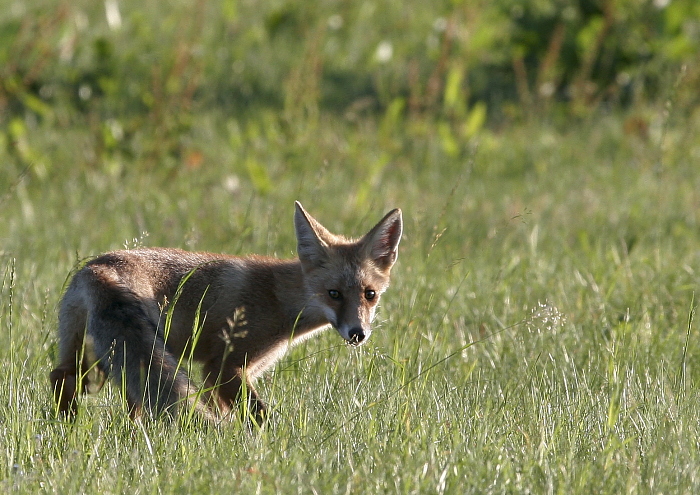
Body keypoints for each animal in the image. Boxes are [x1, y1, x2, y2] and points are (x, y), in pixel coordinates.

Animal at [49, 202, 402, 426]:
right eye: (334, 294)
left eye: (370, 295)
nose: (358, 333)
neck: (276, 296)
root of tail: (101, 266)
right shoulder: (223, 368)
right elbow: (260, 418)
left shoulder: (221, 375)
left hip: (96, 358)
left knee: (61, 378)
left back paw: (65, 432)